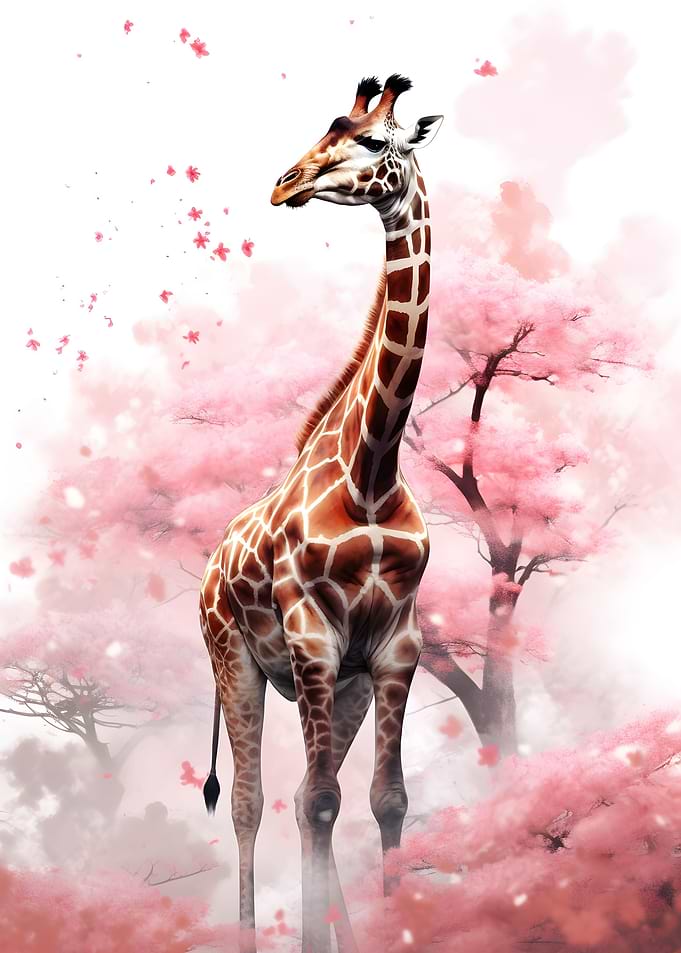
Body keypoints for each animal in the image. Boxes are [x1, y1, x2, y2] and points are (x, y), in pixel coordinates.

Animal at [200, 73, 443, 953]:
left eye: (371, 141)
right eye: (325, 128)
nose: (284, 183)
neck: (372, 470)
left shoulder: (394, 645)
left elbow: (383, 800)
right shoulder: (309, 635)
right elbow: (314, 801)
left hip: (343, 683)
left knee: (316, 792)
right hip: (235, 658)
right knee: (249, 802)